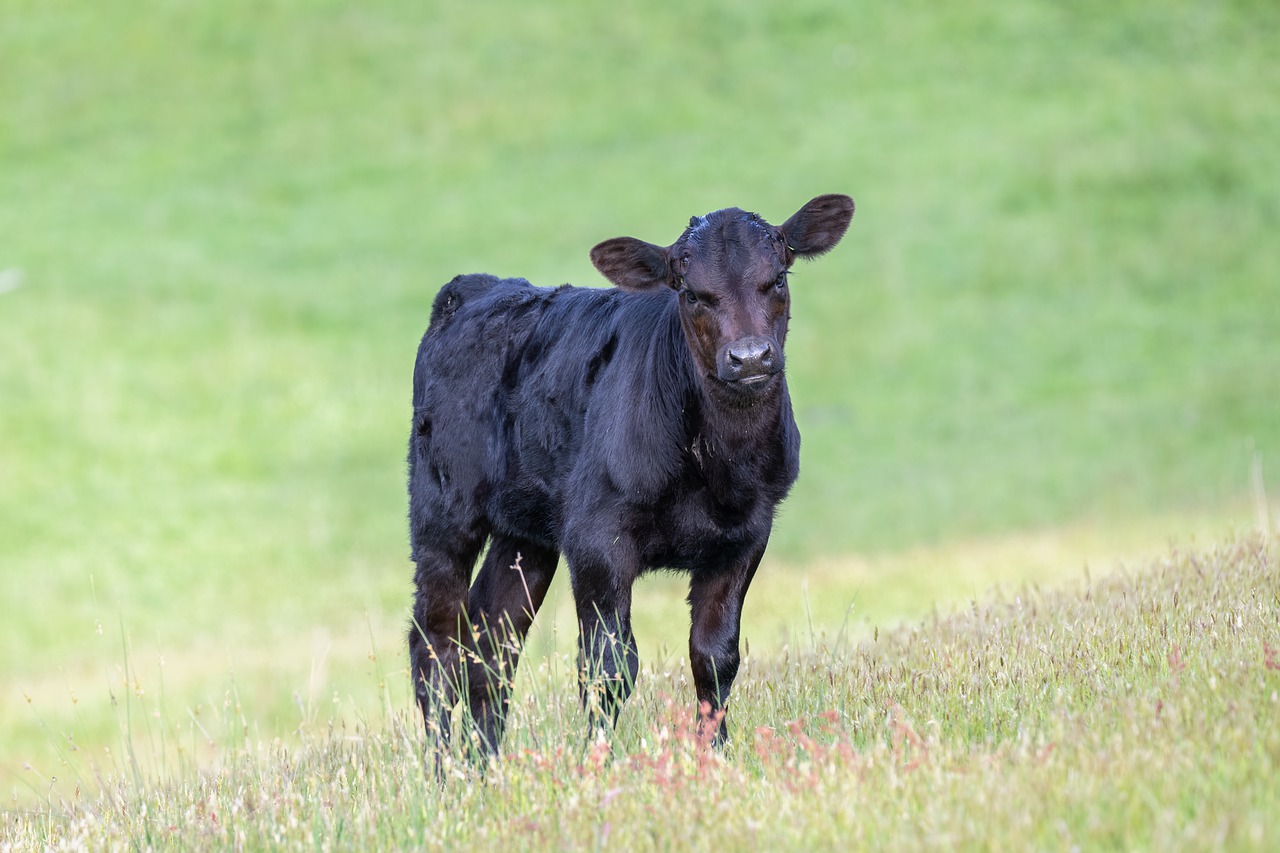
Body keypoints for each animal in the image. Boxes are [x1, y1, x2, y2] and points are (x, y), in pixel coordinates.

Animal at [407, 190, 849, 753]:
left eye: (777, 279)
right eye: (691, 293)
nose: (749, 358)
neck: (716, 469)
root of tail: (474, 286)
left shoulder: (746, 535)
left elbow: (714, 657)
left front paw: (717, 755)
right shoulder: (598, 538)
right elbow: (608, 664)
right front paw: (598, 759)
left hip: (527, 532)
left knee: (492, 642)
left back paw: (484, 763)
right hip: (442, 508)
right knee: (435, 643)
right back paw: (445, 765)